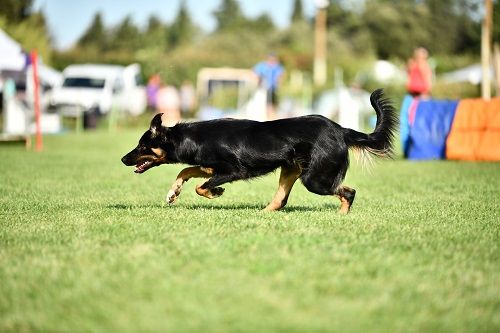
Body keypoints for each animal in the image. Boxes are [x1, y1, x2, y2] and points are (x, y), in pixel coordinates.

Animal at [122, 88, 398, 213]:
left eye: (142, 146)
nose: (123, 159)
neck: (192, 138)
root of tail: (340, 129)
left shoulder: (234, 170)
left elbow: (201, 186)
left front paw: (216, 192)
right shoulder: (210, 166)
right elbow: (185, 172)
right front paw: (173, 192)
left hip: (314, 178)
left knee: (348, 192)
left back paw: (341, 215)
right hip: (291, 170)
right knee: (280, 200)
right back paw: (262, 214)